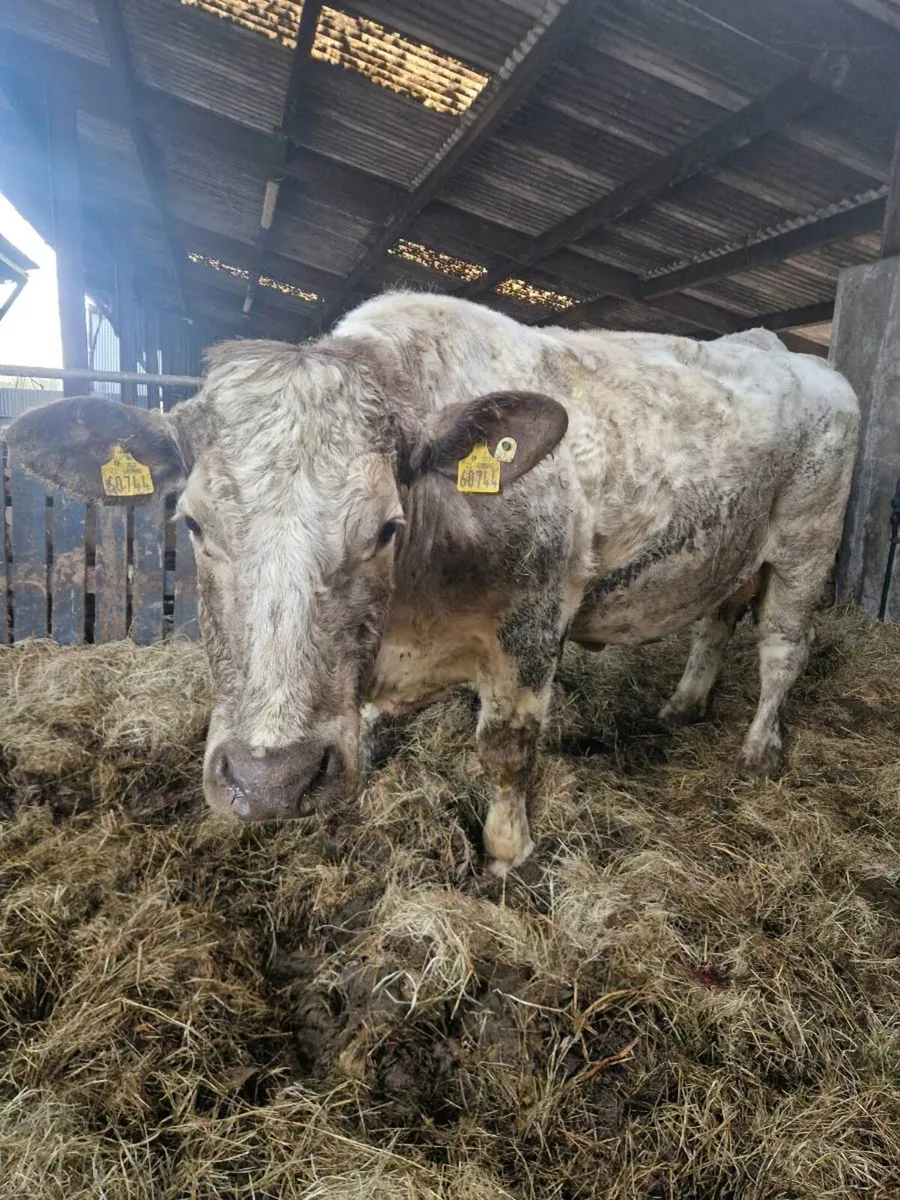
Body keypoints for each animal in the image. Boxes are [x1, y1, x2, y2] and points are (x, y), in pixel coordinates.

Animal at [6, 293, 859, 874]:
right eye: (190, 523)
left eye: (386, 526)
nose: (271, 781)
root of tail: (806, 360)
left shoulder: (530, 628)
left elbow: (506, 752)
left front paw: (508, 852)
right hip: (731, 548)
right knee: (715, 621)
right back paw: (684, 704)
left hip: (807, 540)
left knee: (783, 648)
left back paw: (758, 748)